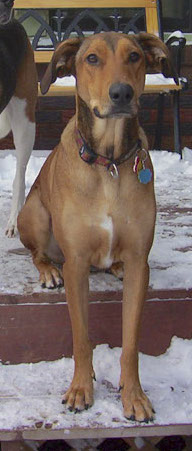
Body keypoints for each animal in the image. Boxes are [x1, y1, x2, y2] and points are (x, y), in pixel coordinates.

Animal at [18, 32, 177, 424]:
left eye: (134, 56)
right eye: (91, 58)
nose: (122, 93)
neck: (110, 164)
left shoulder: (139, 261)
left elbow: (131, 342)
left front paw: (134, 396)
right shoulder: (75, 263)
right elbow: (81, 337)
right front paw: (80, 388)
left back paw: (113, 266)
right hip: (35, 212)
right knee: (37, 253)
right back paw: (48, 271)